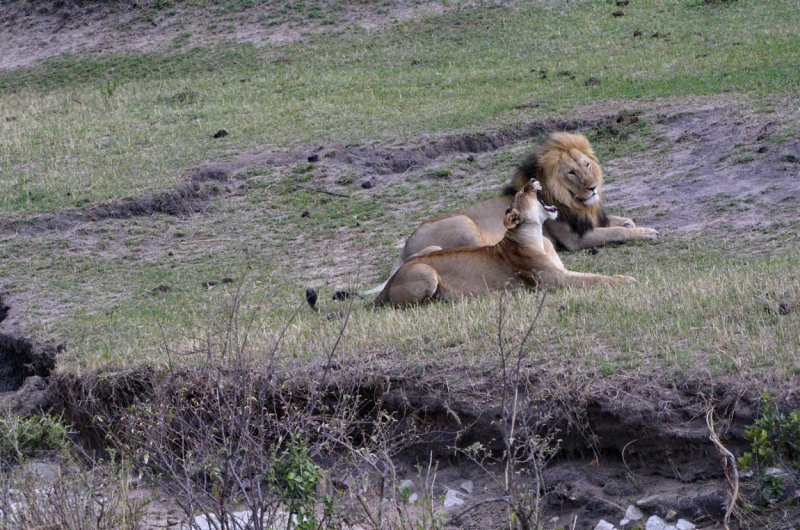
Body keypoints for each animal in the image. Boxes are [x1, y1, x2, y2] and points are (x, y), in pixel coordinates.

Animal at [366, 130, 652, 294]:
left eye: (587, 165)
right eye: (572, 172)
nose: (592, 187)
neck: (574, 201)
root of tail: (404, 248)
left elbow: (617, 221)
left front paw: (630, 223)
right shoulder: (574, 239)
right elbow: (612, 233)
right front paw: (647, 232)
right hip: (464, 223)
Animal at [372, 180, 636, 308]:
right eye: (521, 193)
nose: (533, 179)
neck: (537, 234)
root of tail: (391, 280)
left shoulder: (561, 271)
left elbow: (591, 275)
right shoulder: (553, 281)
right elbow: (593, 279)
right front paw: (627, 280)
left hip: (431, 250)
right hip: (426, 272)